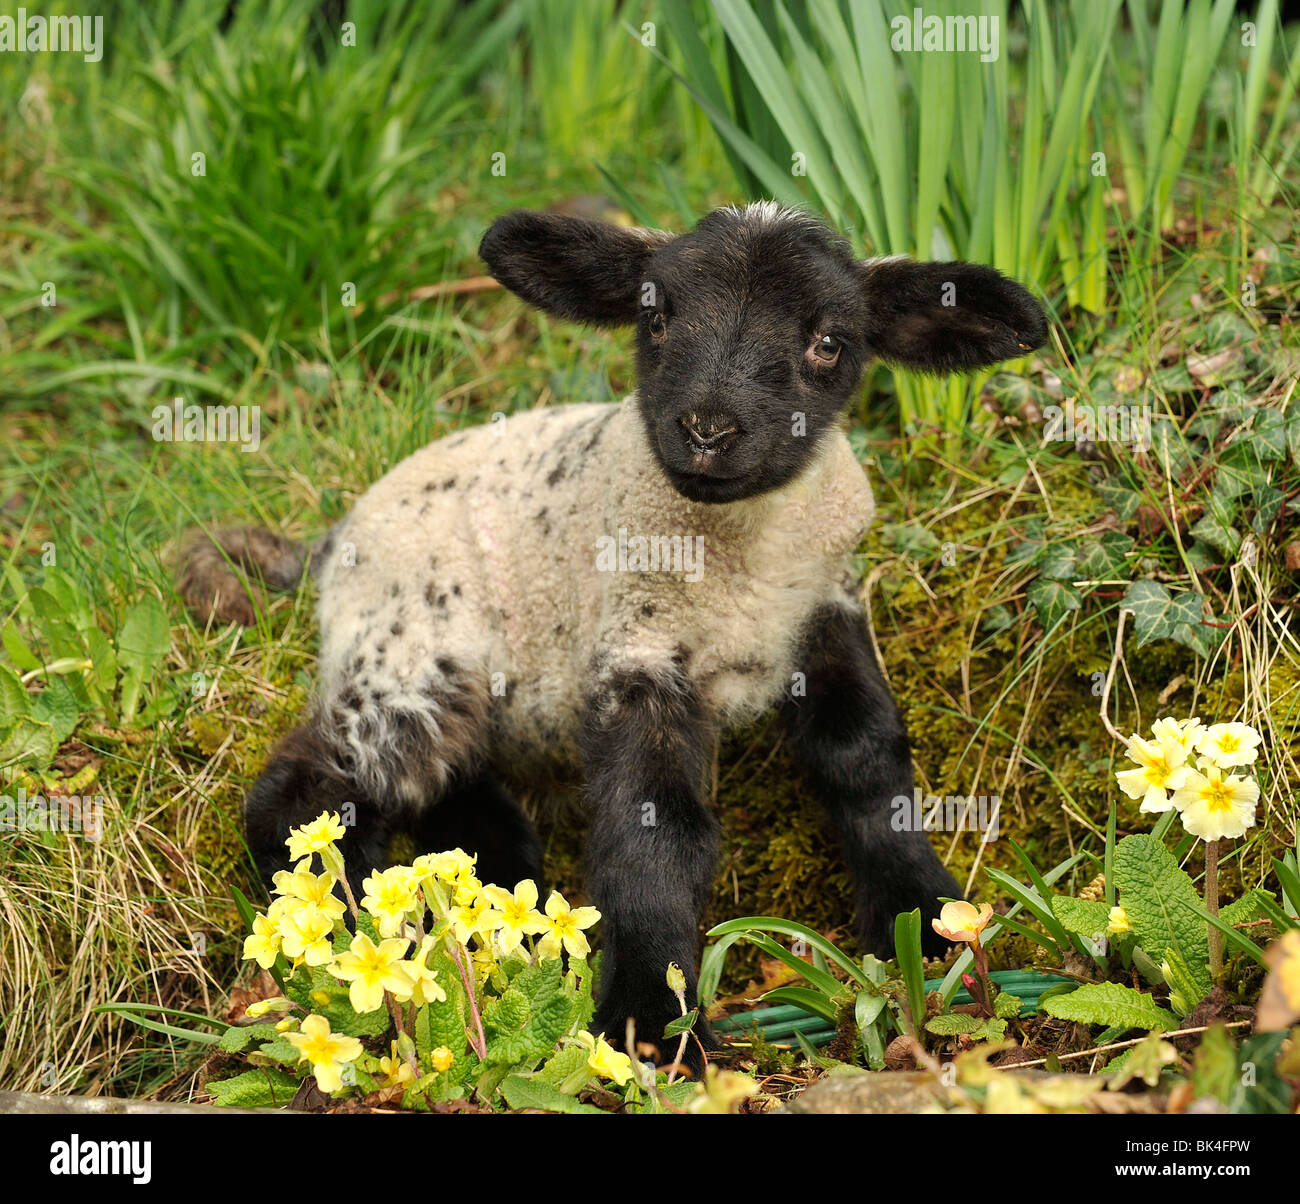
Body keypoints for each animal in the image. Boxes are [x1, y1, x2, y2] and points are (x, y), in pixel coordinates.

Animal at [183, 202, 1045, 1071]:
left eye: (829, 341)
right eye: (654, 317)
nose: (706, 431)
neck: (743, 575)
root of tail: (332, 541)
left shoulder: (823, 614)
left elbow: (864, 758)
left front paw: (926, 925)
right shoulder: (639, 651)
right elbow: (653, 832)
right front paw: (649, 1025)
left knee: (447, 784)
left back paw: (489, 877)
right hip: (406, 653)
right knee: (306, 788)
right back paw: (348, 911)